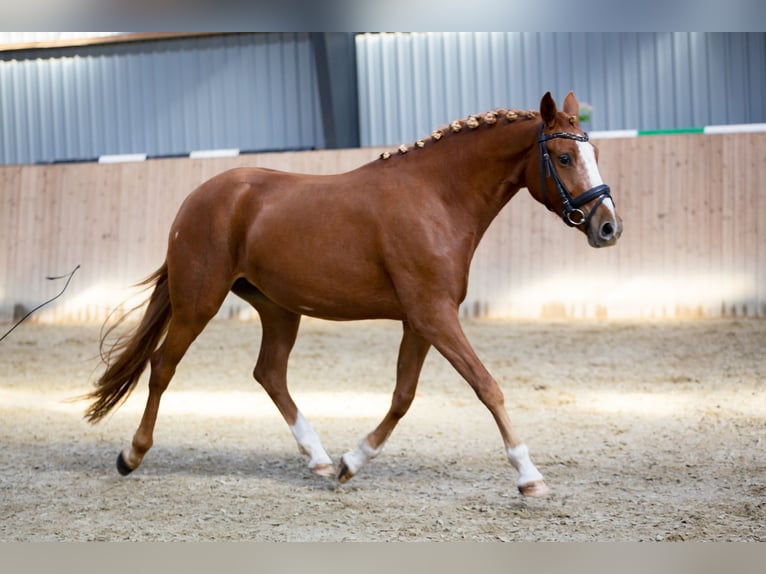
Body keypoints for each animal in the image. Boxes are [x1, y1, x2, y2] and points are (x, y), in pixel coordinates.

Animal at [85, 92, 624, 498]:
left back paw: (320, 460)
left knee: (269, 374)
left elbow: (403, 397)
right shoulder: (435, 315)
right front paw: (530, 478)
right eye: (563, 157)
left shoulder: (421, 320)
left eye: (596, 155)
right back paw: (131, 454)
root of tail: (199, 198)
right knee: (163, 367)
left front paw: (350, 462)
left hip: (278, 309)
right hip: (200, 302)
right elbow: (486, 386)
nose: (608, 227)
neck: (436, 197)